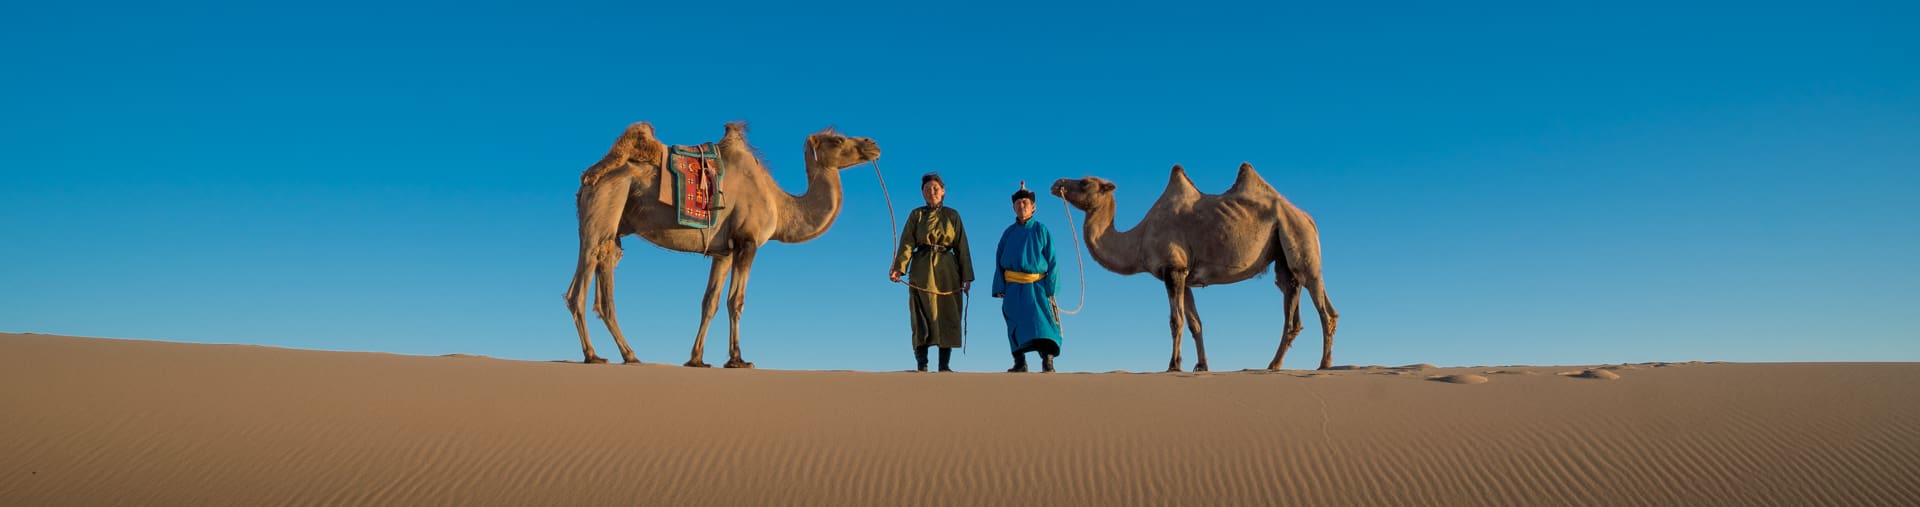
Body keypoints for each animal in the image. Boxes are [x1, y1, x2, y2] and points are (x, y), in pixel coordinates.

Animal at [560, 122, 879, 368]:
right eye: (838, 140)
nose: (873, 143)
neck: (779, 204)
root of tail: (586, 179)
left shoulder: (723, 252)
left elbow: (710, 302)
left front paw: (697, 359)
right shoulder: (747, 242)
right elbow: (735, 301)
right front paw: (738, 359)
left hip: (613, 225)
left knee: (605, 278)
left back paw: (629, 355)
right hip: (603, 205)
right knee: (579, 287)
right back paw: (593, 356)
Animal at [1052, 164, 1336, 370]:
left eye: (1085, 182)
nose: (1057, 184)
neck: (1139, 240)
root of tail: (1307, 217)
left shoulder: (1173, 269)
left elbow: (1175, 320)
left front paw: (1173, 365)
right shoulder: (1184, 277)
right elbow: (1195, 324)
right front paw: (1201, 366)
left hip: (1299, 239)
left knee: (1323, 308)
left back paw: (1324, 364)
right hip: (1284, 254)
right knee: (1292, 297)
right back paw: (1274, 364)